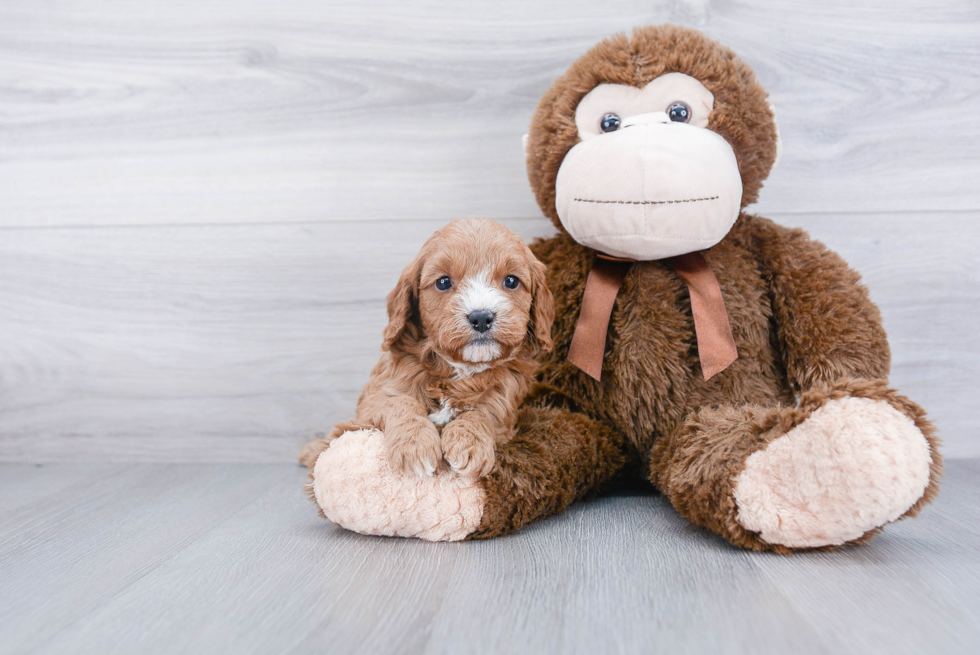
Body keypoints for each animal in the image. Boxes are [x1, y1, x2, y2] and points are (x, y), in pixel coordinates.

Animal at [298, 218, 556, 480]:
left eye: (511, 281)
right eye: (443, 282)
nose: (481, 317)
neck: (458, 369)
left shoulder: (505, 406)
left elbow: (484, 412)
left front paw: (469, 442)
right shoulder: (373, 401)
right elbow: (398, 401)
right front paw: (414, 445)